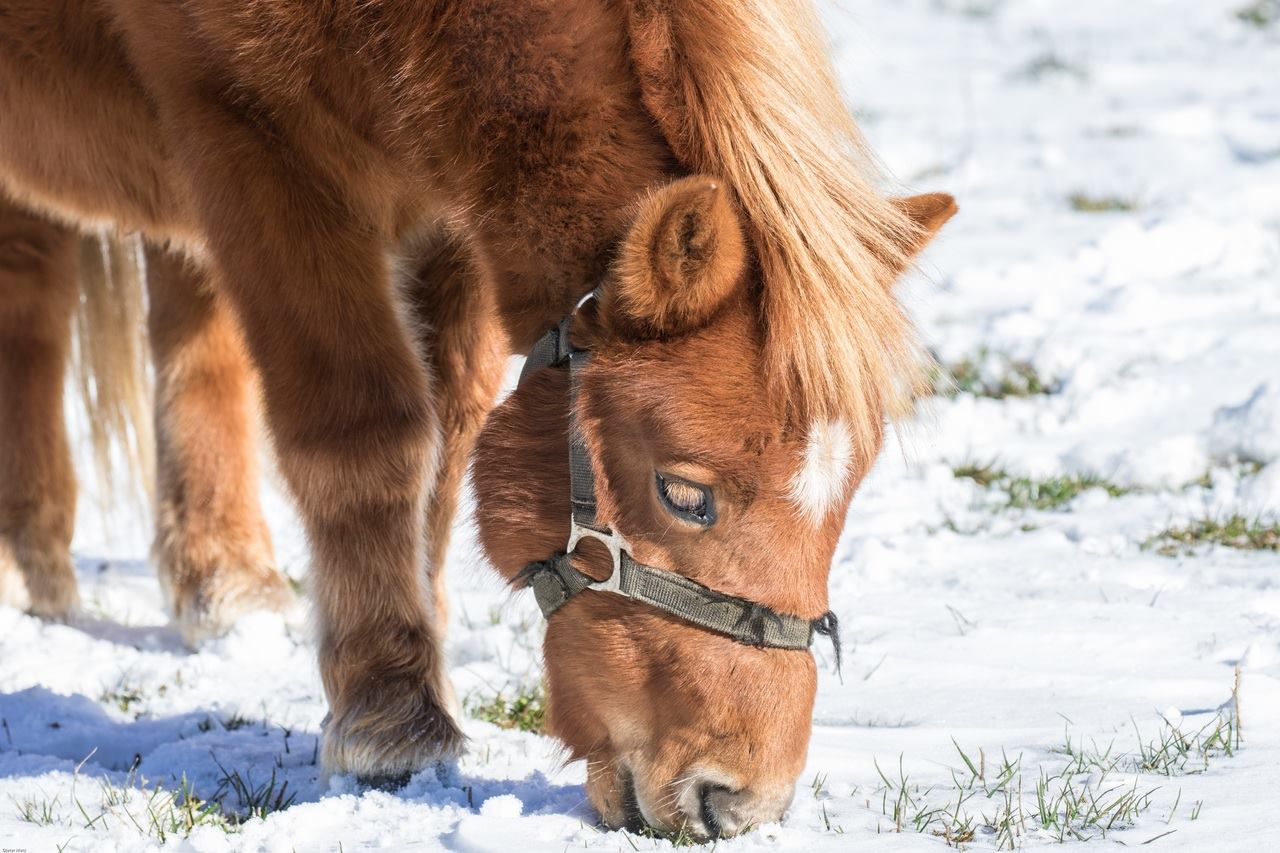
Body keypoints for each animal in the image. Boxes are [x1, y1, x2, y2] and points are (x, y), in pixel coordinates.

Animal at [0, 0, 952, 835]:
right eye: (685, 493)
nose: (741, 802)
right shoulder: (249, 140)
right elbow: (366, 431)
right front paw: (391, 719)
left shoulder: (449, 207)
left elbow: (448, 436)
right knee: (35, 302)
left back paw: (221, 582)